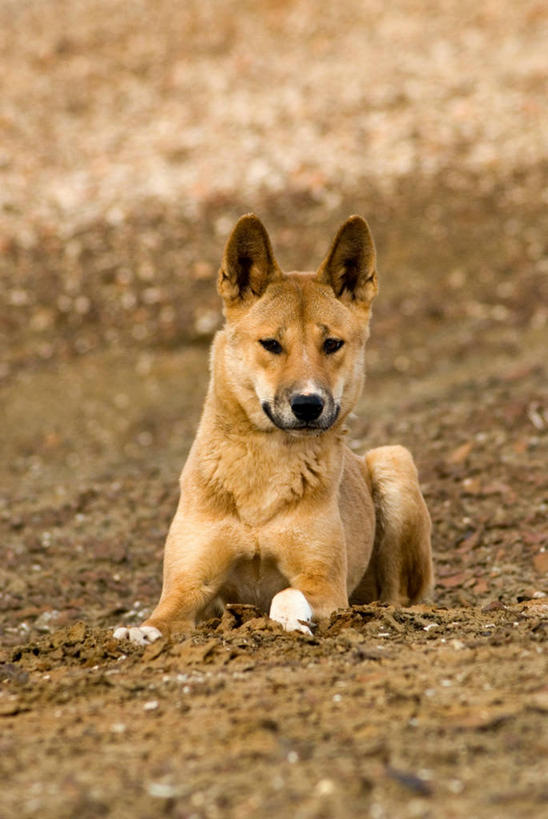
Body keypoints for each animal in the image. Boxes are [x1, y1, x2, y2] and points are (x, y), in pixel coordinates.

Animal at [114, 215, 432, 644]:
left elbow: (286, 593)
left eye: (332, 344)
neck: (264, 465)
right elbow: (162, 617)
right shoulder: (188, 586)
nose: (308, 405)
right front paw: (139, 633)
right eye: (270, 343)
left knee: (397, 595)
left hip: (393, 463)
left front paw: (288, 621)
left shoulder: (325, 584)